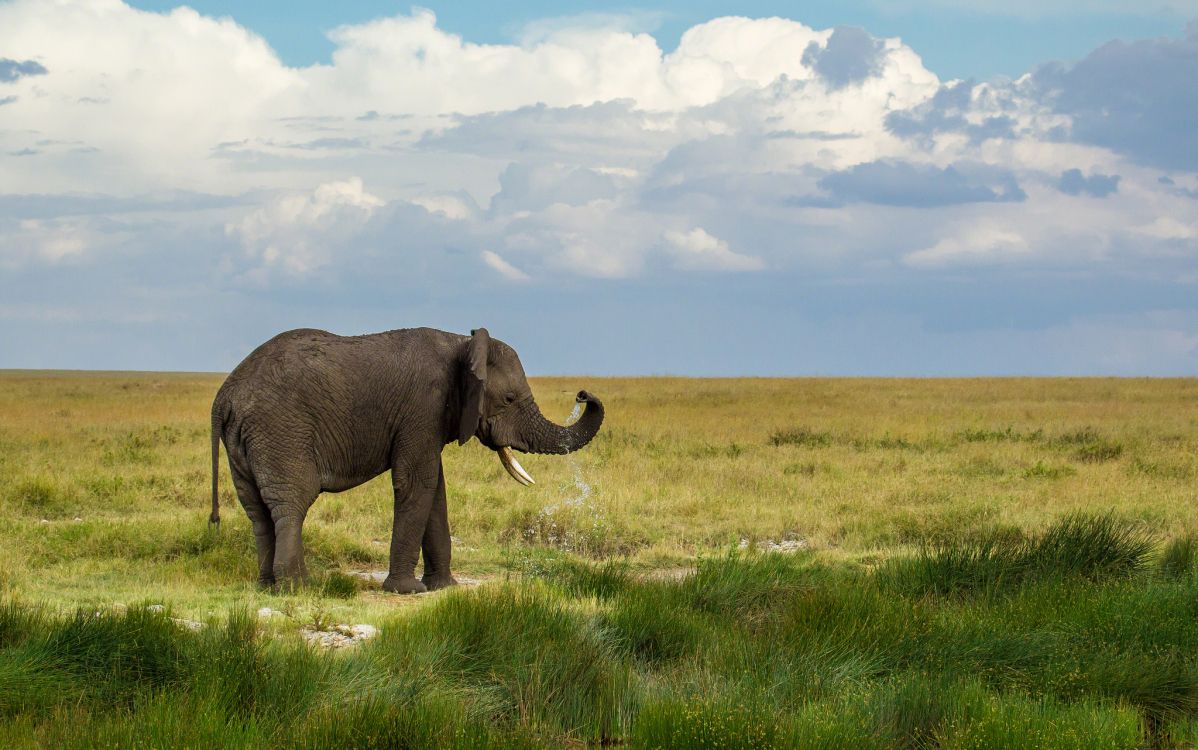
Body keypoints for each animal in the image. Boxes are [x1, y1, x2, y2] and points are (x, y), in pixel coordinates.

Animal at [207, 323, 603, 591]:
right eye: (508, 400)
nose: (583, 394)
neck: (462, 343)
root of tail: (224, 396)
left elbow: (435, 490)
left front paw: (444, 587)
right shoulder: (423, 406)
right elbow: (417, 482)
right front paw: (407, 590)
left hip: (244, 442)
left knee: (257, 511)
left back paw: (267, 586)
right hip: (281, 431)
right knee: (292, 503)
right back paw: (299, 586)